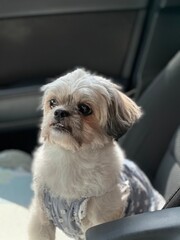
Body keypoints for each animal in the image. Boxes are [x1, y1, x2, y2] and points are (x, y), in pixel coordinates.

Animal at [28, 68, 166, 240]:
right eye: (52, 102)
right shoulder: (40, 218)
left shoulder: (100, 219)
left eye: (84, 108)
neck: (70, 157)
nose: (59, 112)